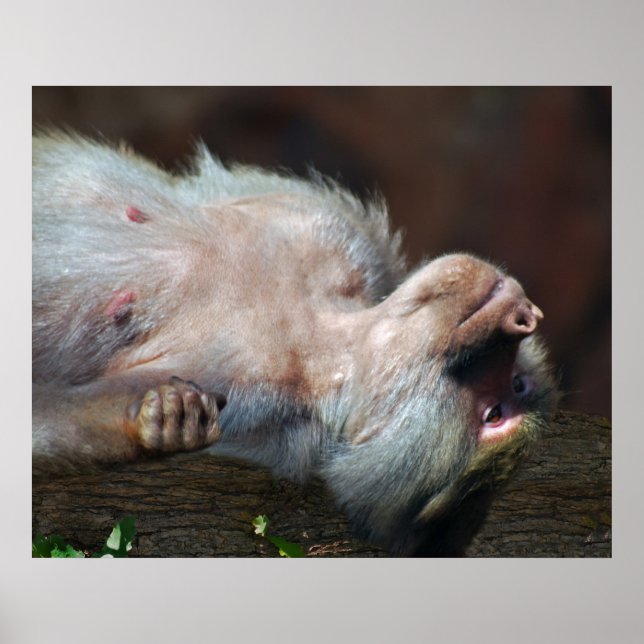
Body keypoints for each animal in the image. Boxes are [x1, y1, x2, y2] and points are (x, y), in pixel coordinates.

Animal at [32, 130, 558, 556]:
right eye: (517, 387)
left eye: (493, 414)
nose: (523, 316)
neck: (325, 338)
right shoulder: (335, 229)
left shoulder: (261, 410)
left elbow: (47, 423)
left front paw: (160, 421)